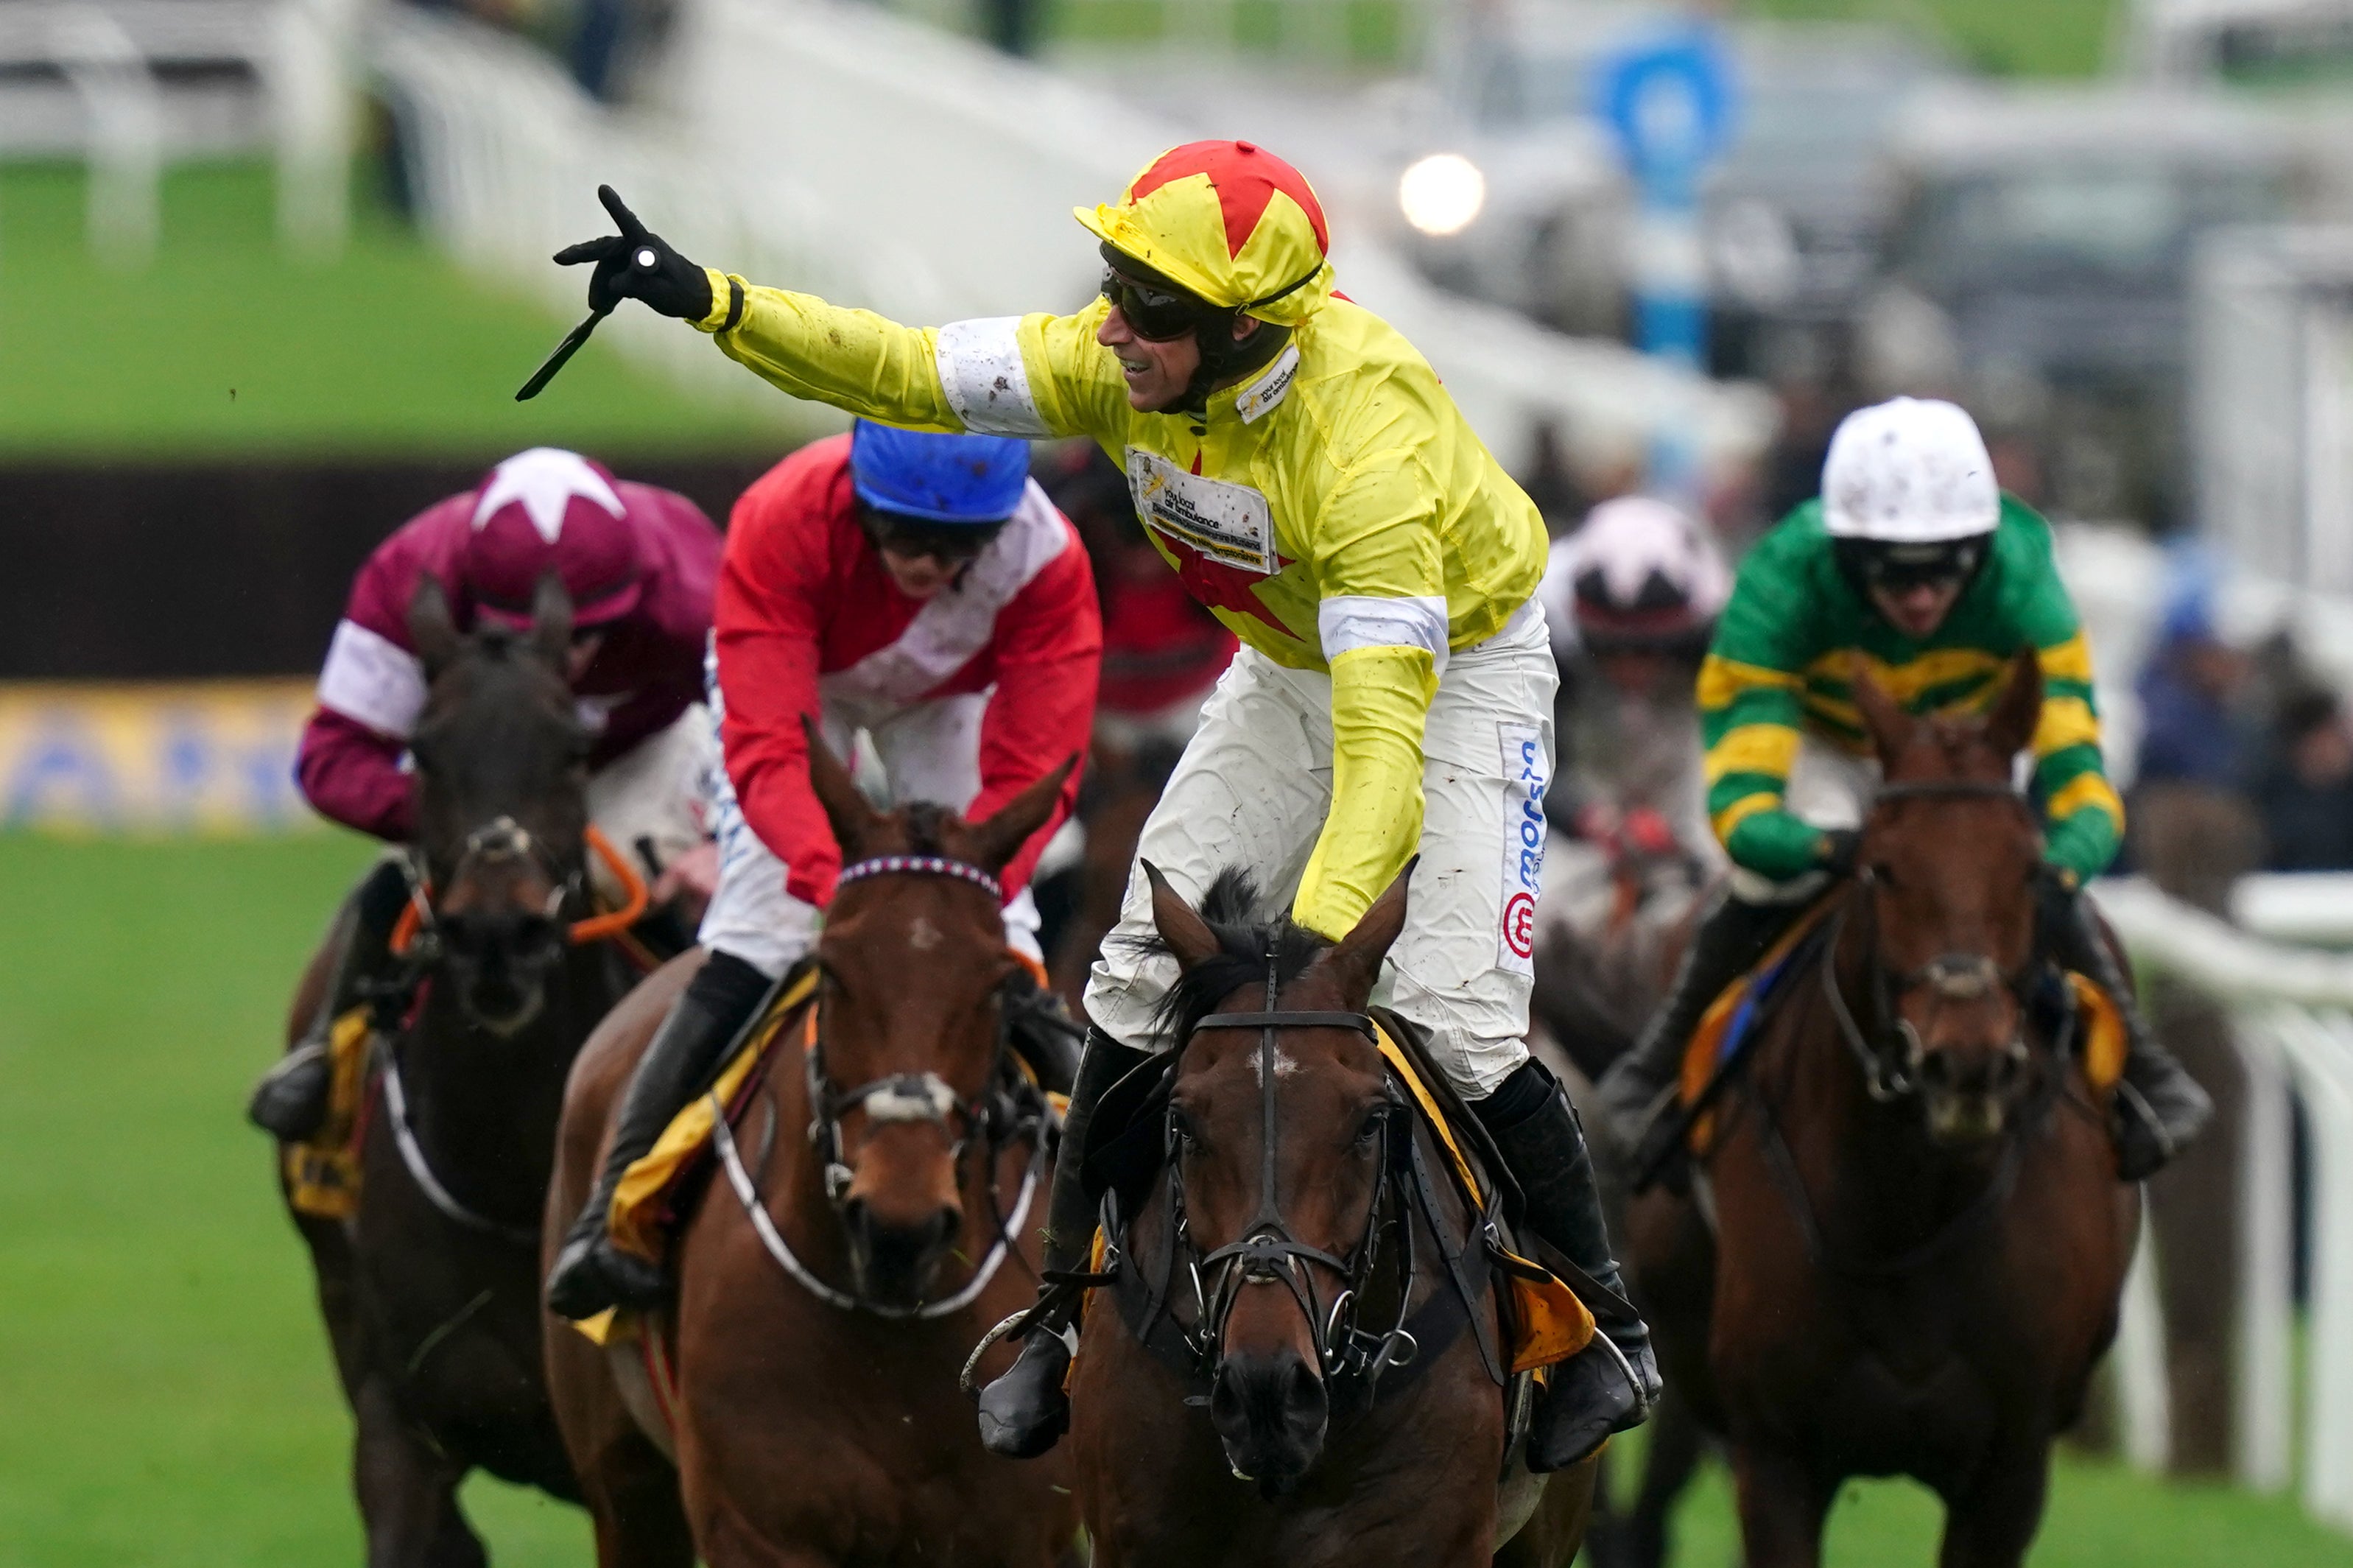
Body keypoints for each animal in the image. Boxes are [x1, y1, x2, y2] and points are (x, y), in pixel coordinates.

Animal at [541, 734, 1077, 1563]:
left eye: (998, 980)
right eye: (831, 967)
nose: (899, 1222)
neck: (893, 1319)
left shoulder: (1019, 1535)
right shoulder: (758, 1526)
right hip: (623, 1487)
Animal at [1628, 650, 2145, 1563]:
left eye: (2029, 869)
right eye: (1883, 868)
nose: (1964, 1062)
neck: (1908, 1206)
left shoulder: (2013, 1465)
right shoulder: (1773, 1451)